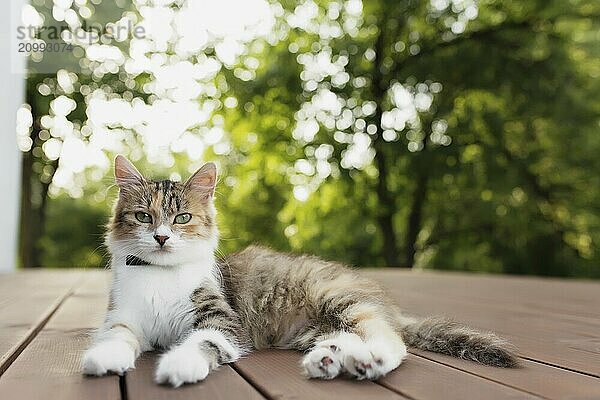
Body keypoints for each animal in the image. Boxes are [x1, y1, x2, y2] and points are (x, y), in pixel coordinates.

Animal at [82, 156, 516, 388]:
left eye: (182, 218)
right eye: (144, 216)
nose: (160, 237)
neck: (159, 275)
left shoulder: (221, 320)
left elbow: (201, 342)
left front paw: (179, 364)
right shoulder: (124, 317)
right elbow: (118, 338)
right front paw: (104, 358)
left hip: (340, 300)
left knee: (389, 339)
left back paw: (369, 360)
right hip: (318, 325)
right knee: (348, 338)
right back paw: (332, 360)